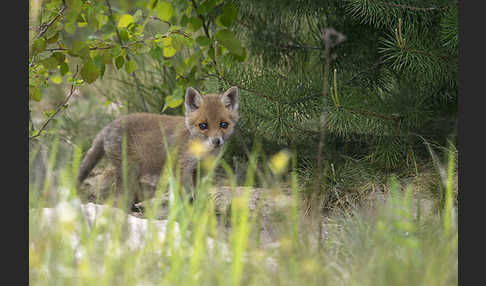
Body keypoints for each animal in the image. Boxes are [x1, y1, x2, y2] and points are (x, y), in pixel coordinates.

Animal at [76, 86, 241, 207]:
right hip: (129, 172)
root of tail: (108, 126)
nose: (216, 141)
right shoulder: (182, 169)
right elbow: (185, 195)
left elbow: (199, 195)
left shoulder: (203, 171)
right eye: (203, 126)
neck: (201, 152)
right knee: (119, 197)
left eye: (224, 125)